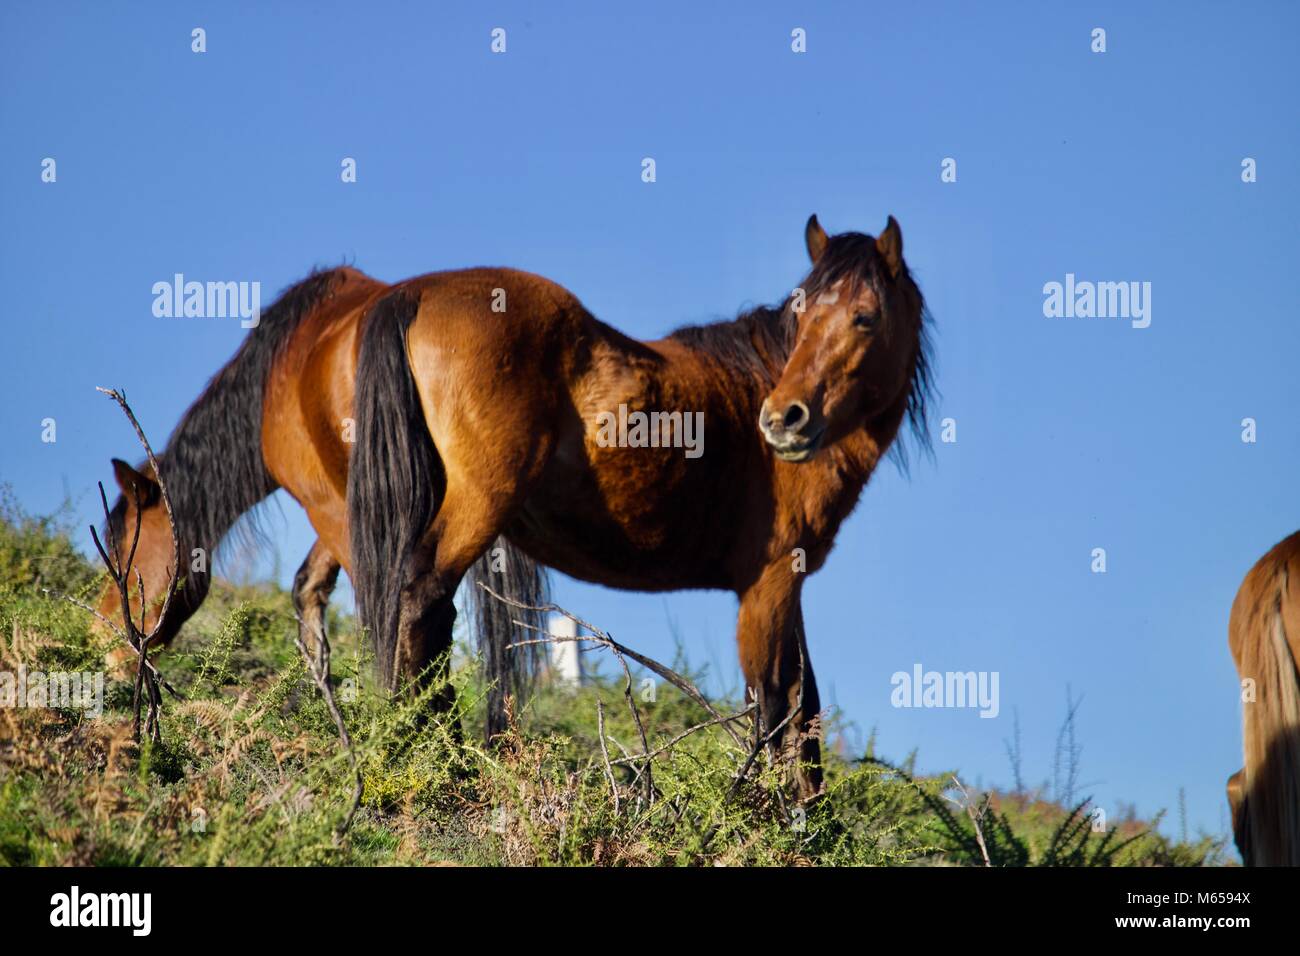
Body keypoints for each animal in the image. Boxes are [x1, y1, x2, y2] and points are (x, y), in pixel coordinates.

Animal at [101, 217, 935, 801]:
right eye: (804, 312)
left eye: (863, 317)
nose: (784, 422)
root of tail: (404, 296)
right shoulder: (770, 584)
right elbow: (778, 706)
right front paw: (769, 818)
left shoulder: (781, 586)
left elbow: (801, 707)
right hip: (462, 510)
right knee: (415, 605)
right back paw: (439, 758)